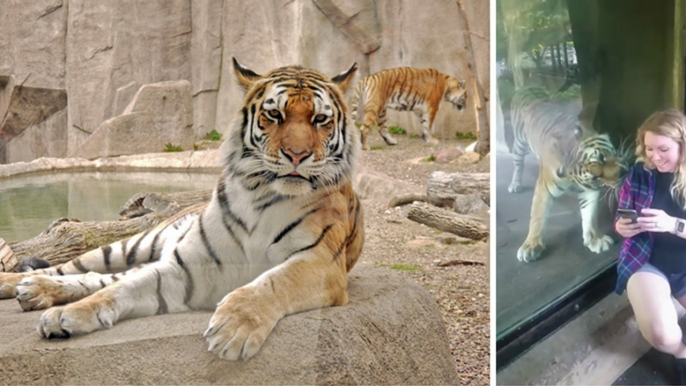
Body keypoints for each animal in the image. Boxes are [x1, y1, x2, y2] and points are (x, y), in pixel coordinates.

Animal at [0, 58, 366, 360]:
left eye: (320, 119)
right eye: (275, 114)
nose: (297, 155)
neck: (261, 197)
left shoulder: (319, 262)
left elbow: (273, 282)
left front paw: (234, 327)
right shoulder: (186, 269)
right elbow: (120, 290)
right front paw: (65, 316)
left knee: (95, 277)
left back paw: (34, 293)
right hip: (131, 244)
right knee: (75, 269)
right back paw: (21, 285)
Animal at [508, 86, 632, 262]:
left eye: (602, 157)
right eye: (596, 176)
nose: (623, 173)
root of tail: (526, 86)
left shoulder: (588, 190)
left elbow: (589, 214)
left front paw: (595, 239)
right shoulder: (544, 188)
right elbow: (538, 216)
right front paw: (531, 246)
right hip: (519, 142)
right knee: (518, 164)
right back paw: (515, 184)